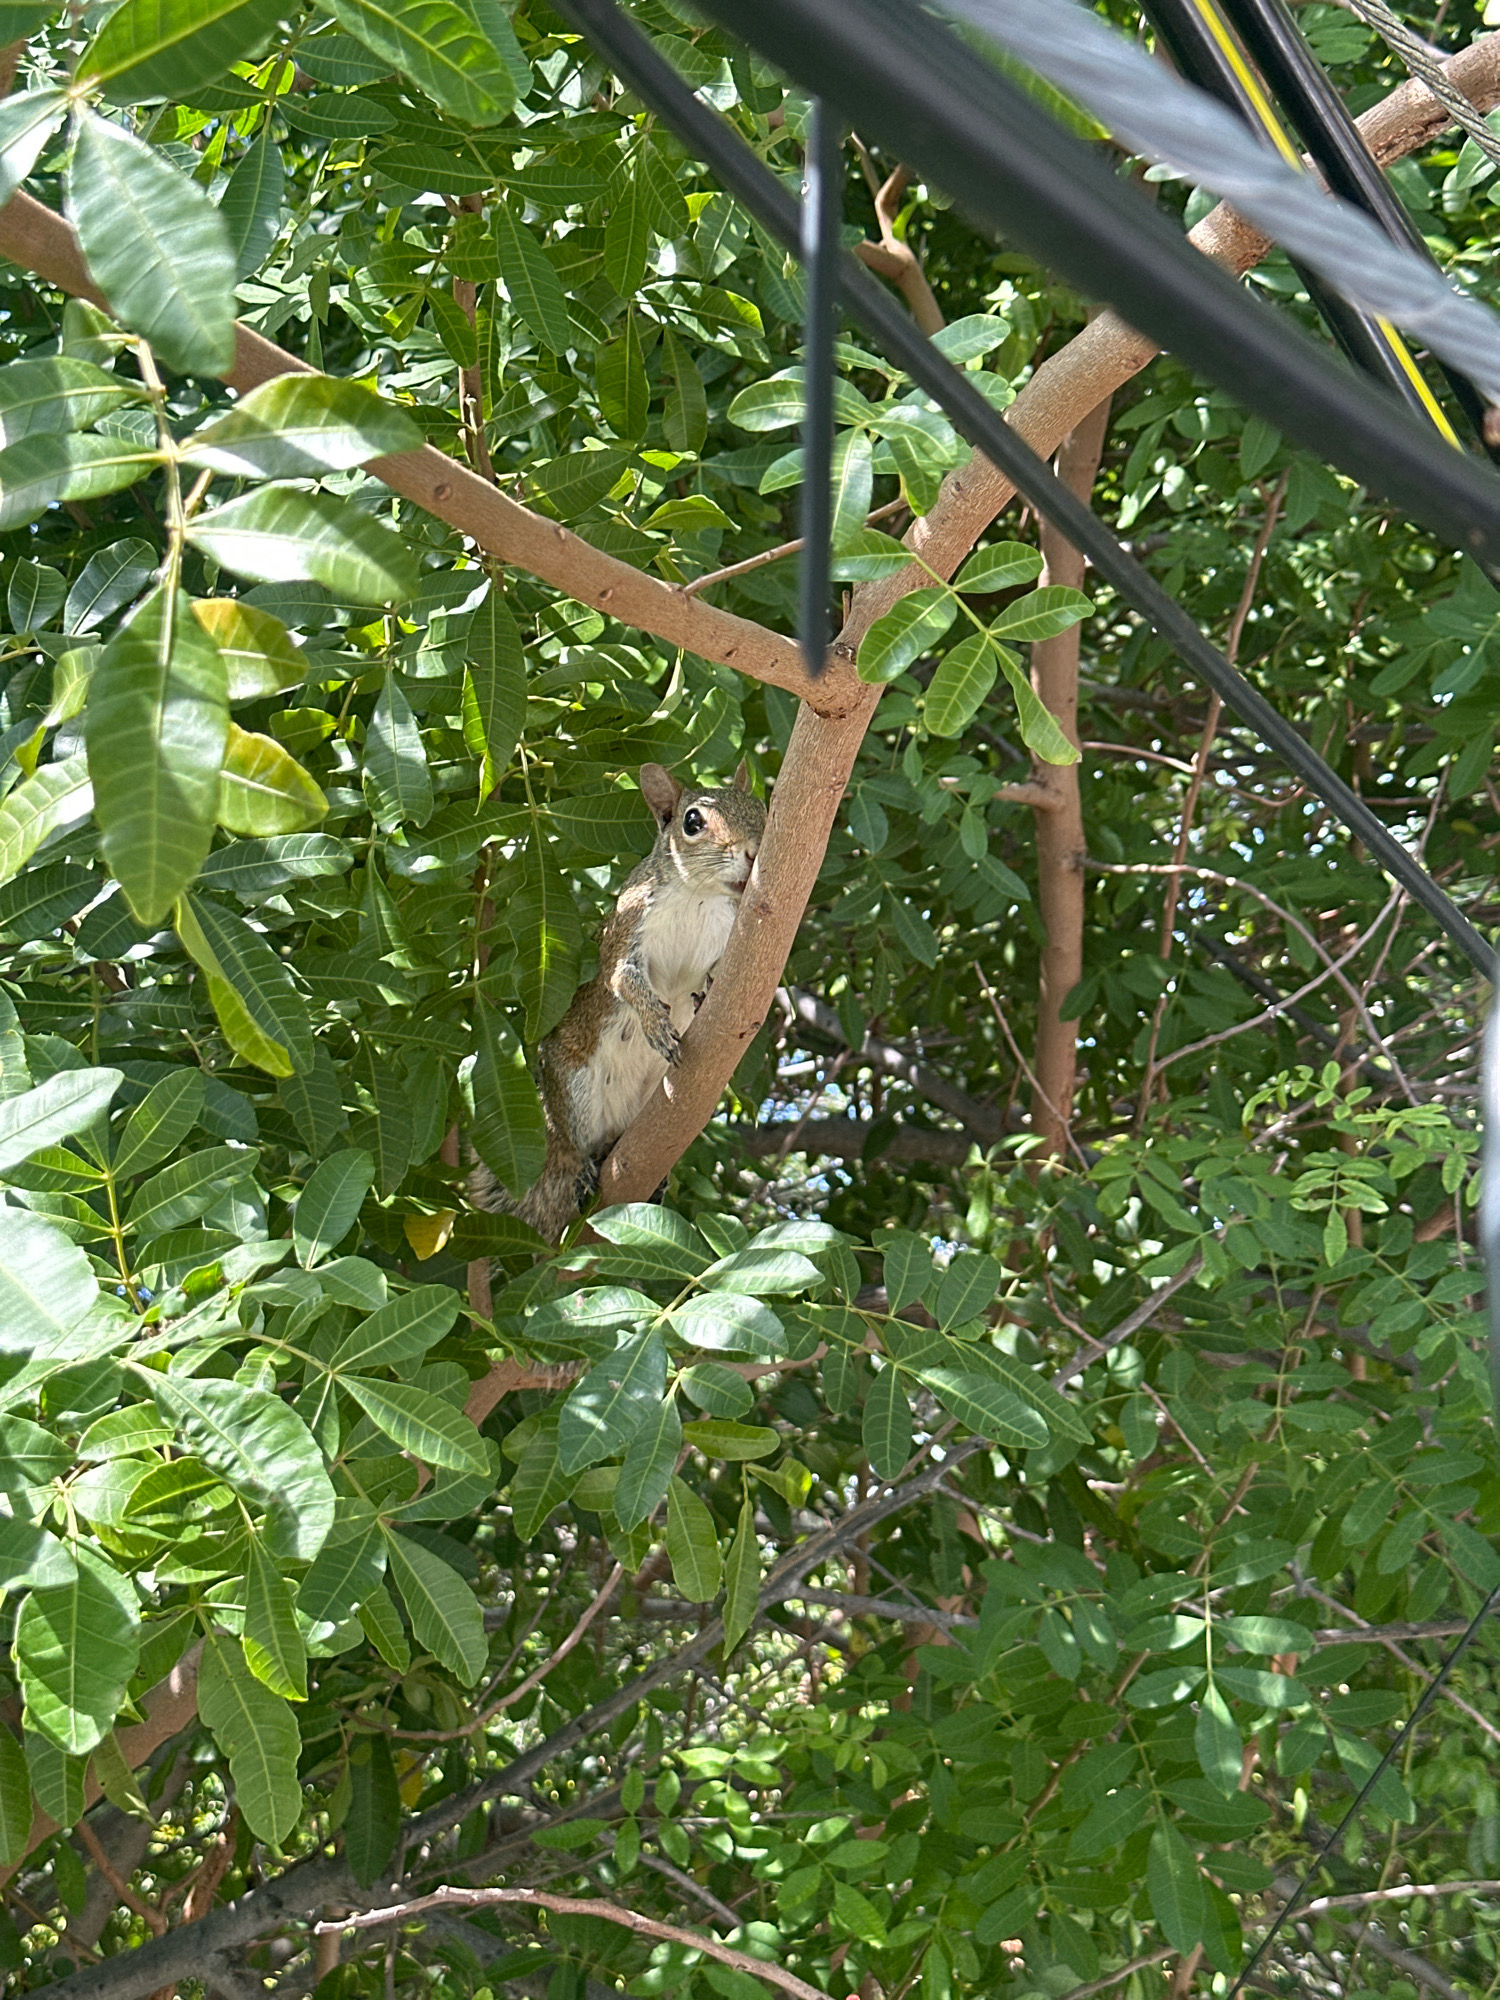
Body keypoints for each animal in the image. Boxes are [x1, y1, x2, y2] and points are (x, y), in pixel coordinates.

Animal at [472, 762, 767, 1243]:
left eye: (762, 807)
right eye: (692, 822)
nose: (753, 851)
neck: (699, 896)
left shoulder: (727, 938)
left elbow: (708, 975)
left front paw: (705, 990)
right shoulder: (627, 930)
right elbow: (623, 978)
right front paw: (655, 1023)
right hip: (573, 1094)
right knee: (573, 1146)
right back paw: (582, 1166)